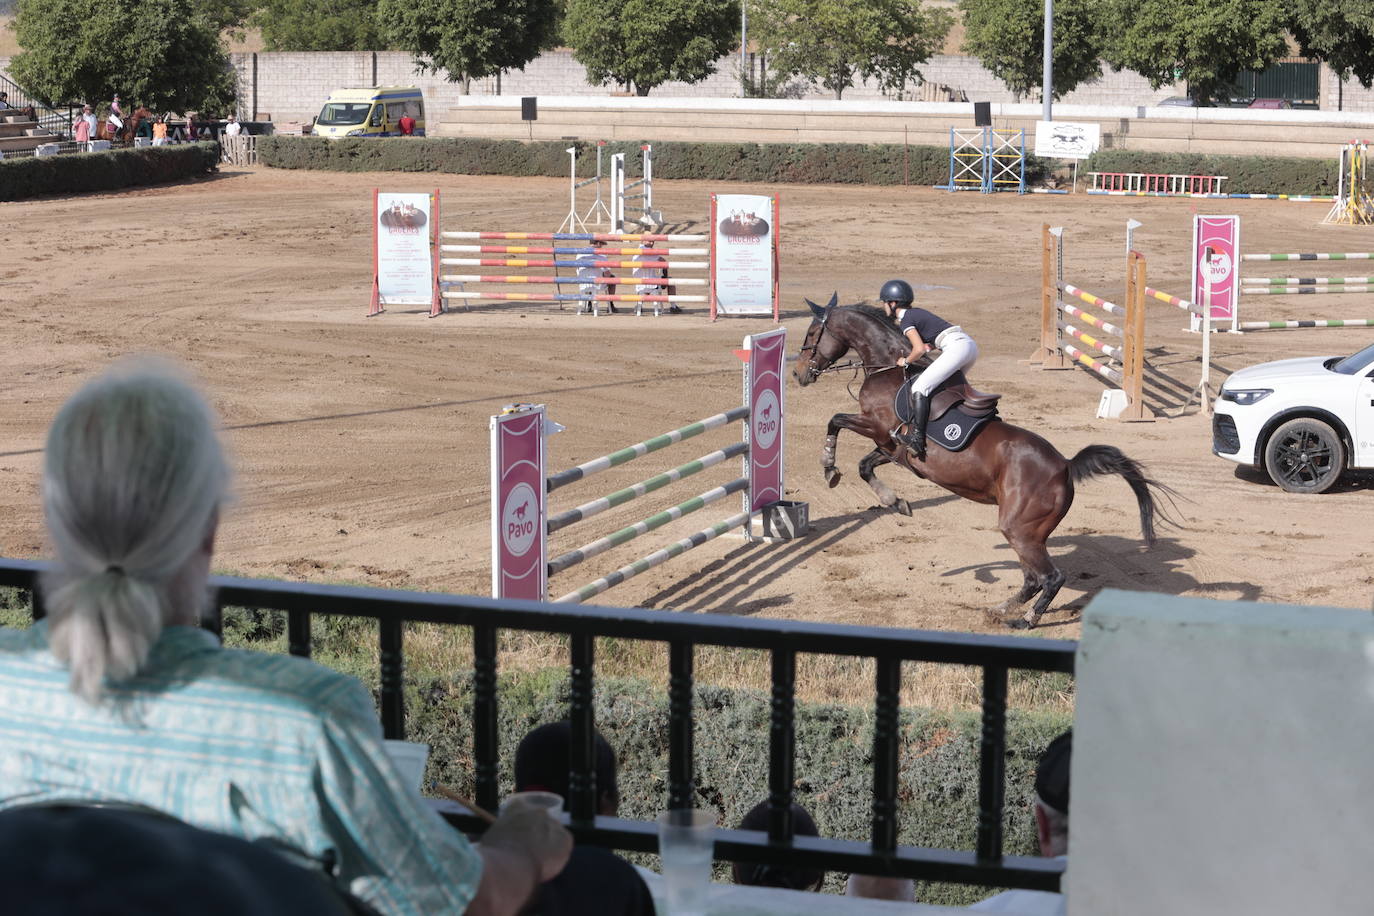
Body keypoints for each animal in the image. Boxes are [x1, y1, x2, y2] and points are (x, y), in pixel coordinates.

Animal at [791, 293, 1176, 631]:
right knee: (1032, 578)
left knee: (1050, 577)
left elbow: (835, 421)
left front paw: (828, 466)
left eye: (810, 334)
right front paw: (895, 501)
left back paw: (1024, 620)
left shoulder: (878, 428)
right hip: (1027, 532)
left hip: (1019, 529)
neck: (887, 365)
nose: (798, 374)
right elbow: (865, 466)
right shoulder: (890, 447)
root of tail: (1066, 465)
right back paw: (1001, 608)